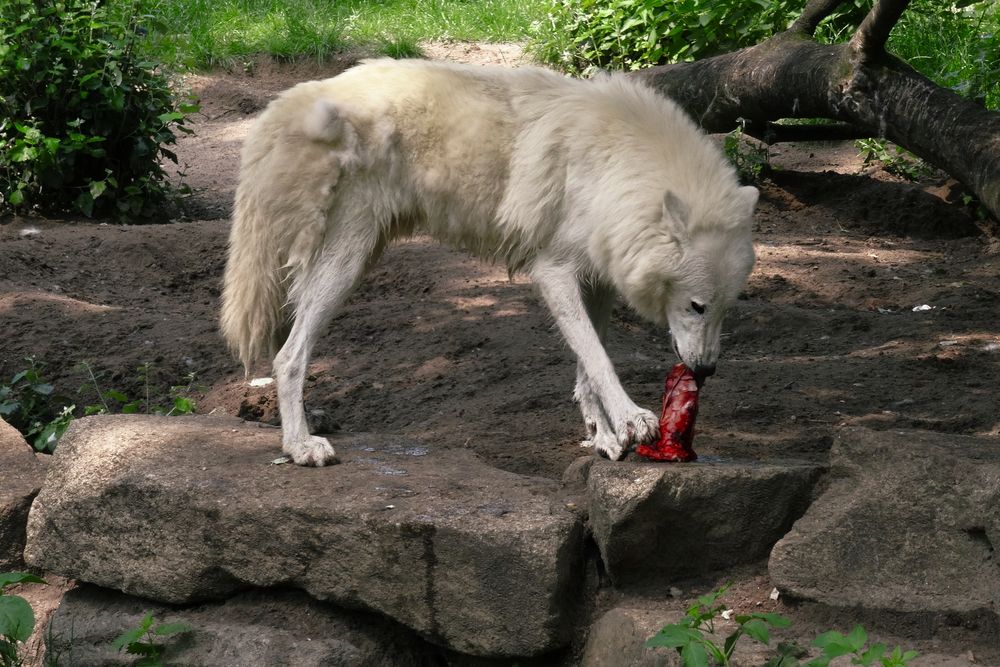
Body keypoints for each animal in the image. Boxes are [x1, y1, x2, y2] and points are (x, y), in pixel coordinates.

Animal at [221, 58, 756, 464]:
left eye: (725, 309)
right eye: (696, 306)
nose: (705, 371)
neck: (615, 166)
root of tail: (291, 102)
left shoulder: (599, 279)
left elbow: (589, 363)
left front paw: (603, 436)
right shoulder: (554, 272)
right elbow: (600, 359)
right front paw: (631, 420)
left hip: (353, 257)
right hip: (346, 266)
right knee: (289, 357)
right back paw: (299, 447)